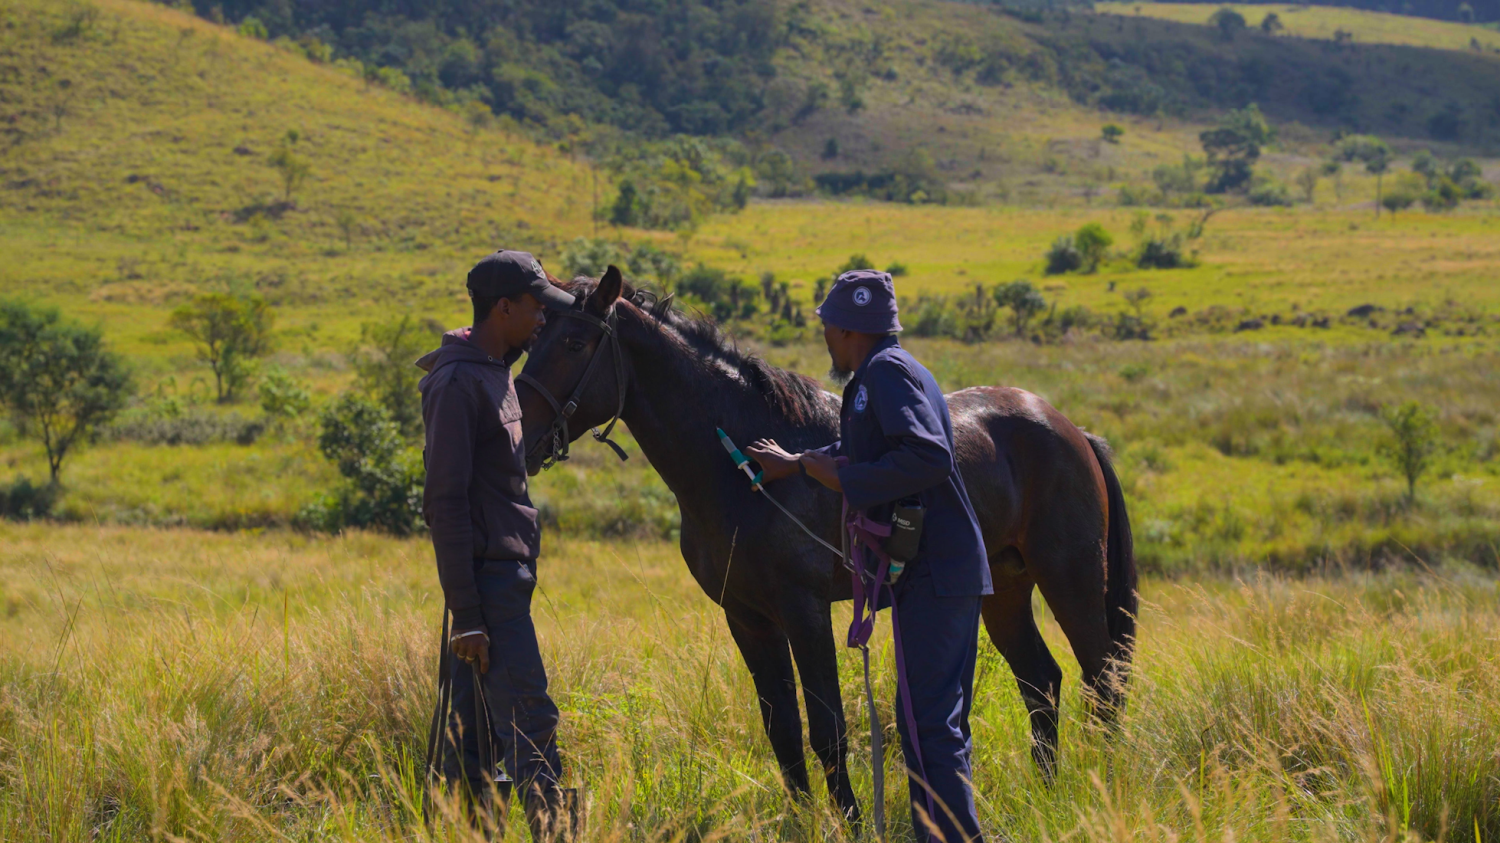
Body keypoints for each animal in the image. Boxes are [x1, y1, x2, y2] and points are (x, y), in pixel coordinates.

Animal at [516, 267, 1136, 822]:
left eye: (573, 341)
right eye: (534, 339)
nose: (523, 435)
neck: (741, 472)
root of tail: (1072, 430)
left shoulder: (804, 611)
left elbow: (828, 730)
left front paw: (852, 822)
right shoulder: (747, 618)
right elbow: (783, 731)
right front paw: (803, 821)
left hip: (1071, 579)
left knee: (1103, 679)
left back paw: (1104, 783)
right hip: (1002, 593)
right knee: (1042, 681)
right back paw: (1048, 789)